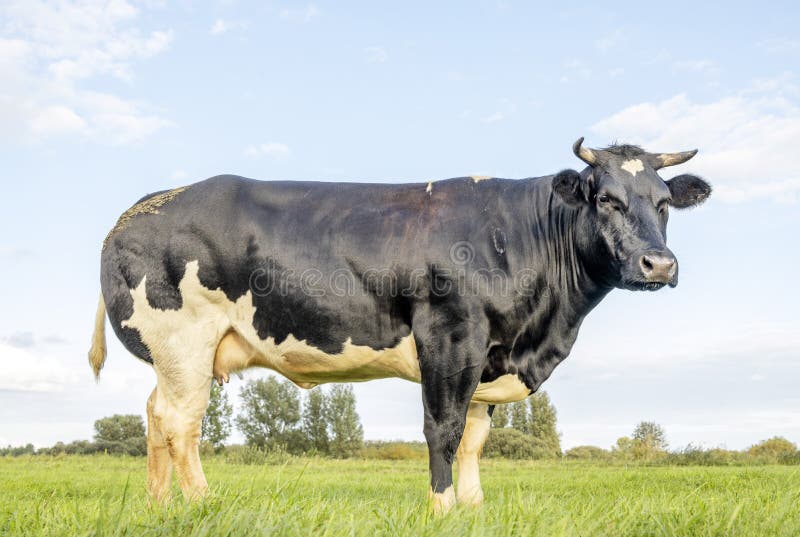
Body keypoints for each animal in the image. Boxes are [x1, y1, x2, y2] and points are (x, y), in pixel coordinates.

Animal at [89, 138, 712, 510]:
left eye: (662, 202)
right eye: (605, 199)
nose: (659, 264)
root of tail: (140, 209)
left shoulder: (488, 355)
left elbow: (474, 439)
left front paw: (473, 508)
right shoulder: (451, 337)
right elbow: (444, 430)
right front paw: (442, 508)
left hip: (177, 356)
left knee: (155, 416)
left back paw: (160, 504)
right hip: (185, 341)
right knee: (180, 423)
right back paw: (201, 501)